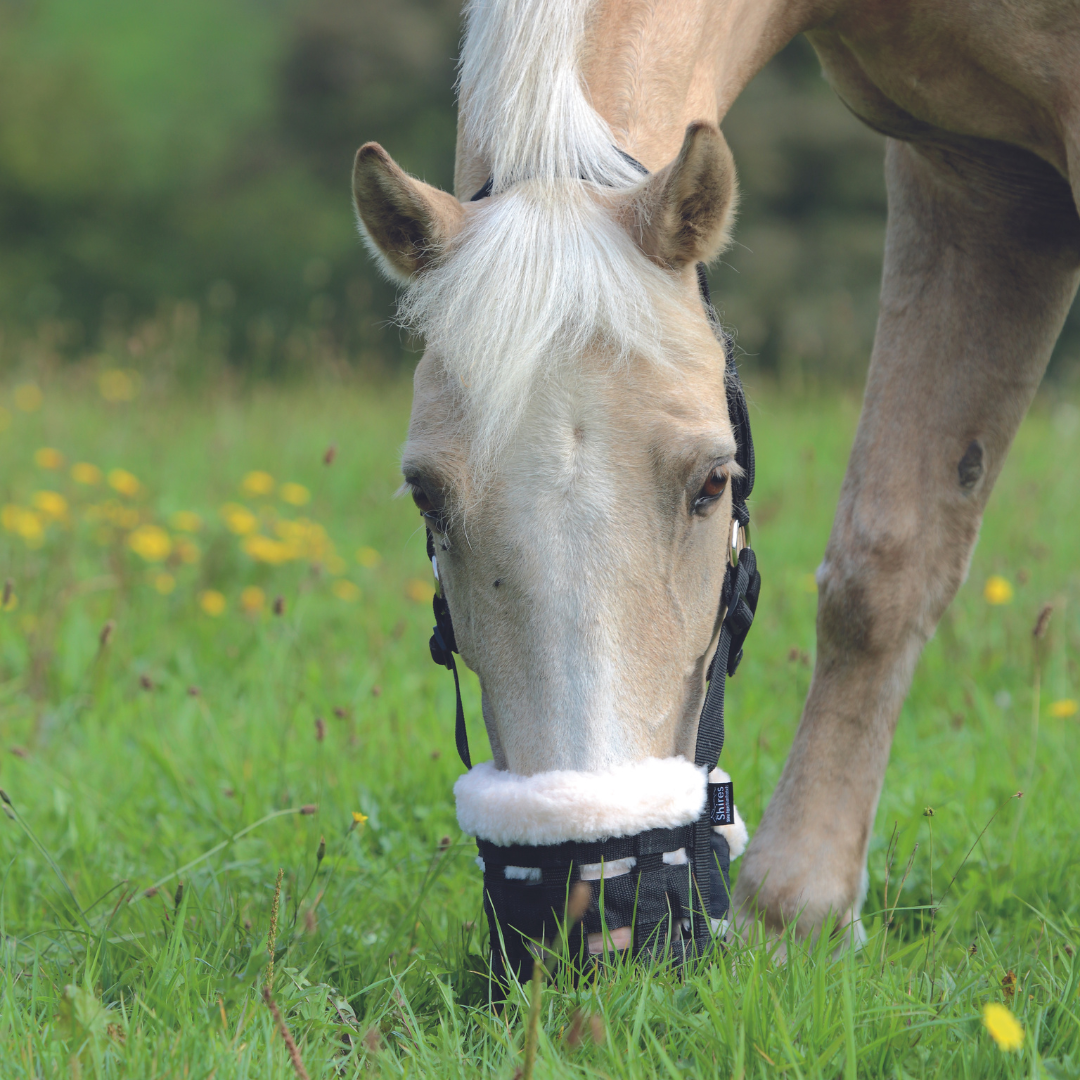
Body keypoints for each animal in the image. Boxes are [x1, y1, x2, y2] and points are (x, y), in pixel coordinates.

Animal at [349, 0, 1075, 941]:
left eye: (713, 484)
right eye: (427, 498)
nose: (595, 909)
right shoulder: (974, 175)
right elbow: (886, 564)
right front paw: (797, 915)